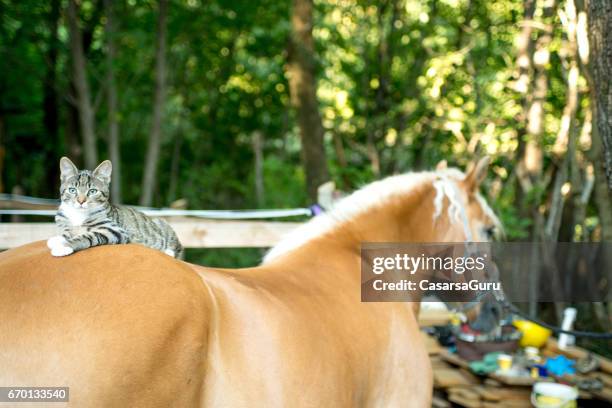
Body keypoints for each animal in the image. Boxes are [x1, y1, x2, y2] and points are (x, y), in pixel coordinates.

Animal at [47, 157, 183, 258]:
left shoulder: (114, 230)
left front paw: (64, 246)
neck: (78, 215)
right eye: (72, 190)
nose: (81, 201)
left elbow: (87, 236)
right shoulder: (63, 222)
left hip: (162, 223)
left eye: (92, 191)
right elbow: (66, 232)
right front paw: (57, 239)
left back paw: (168, 251)